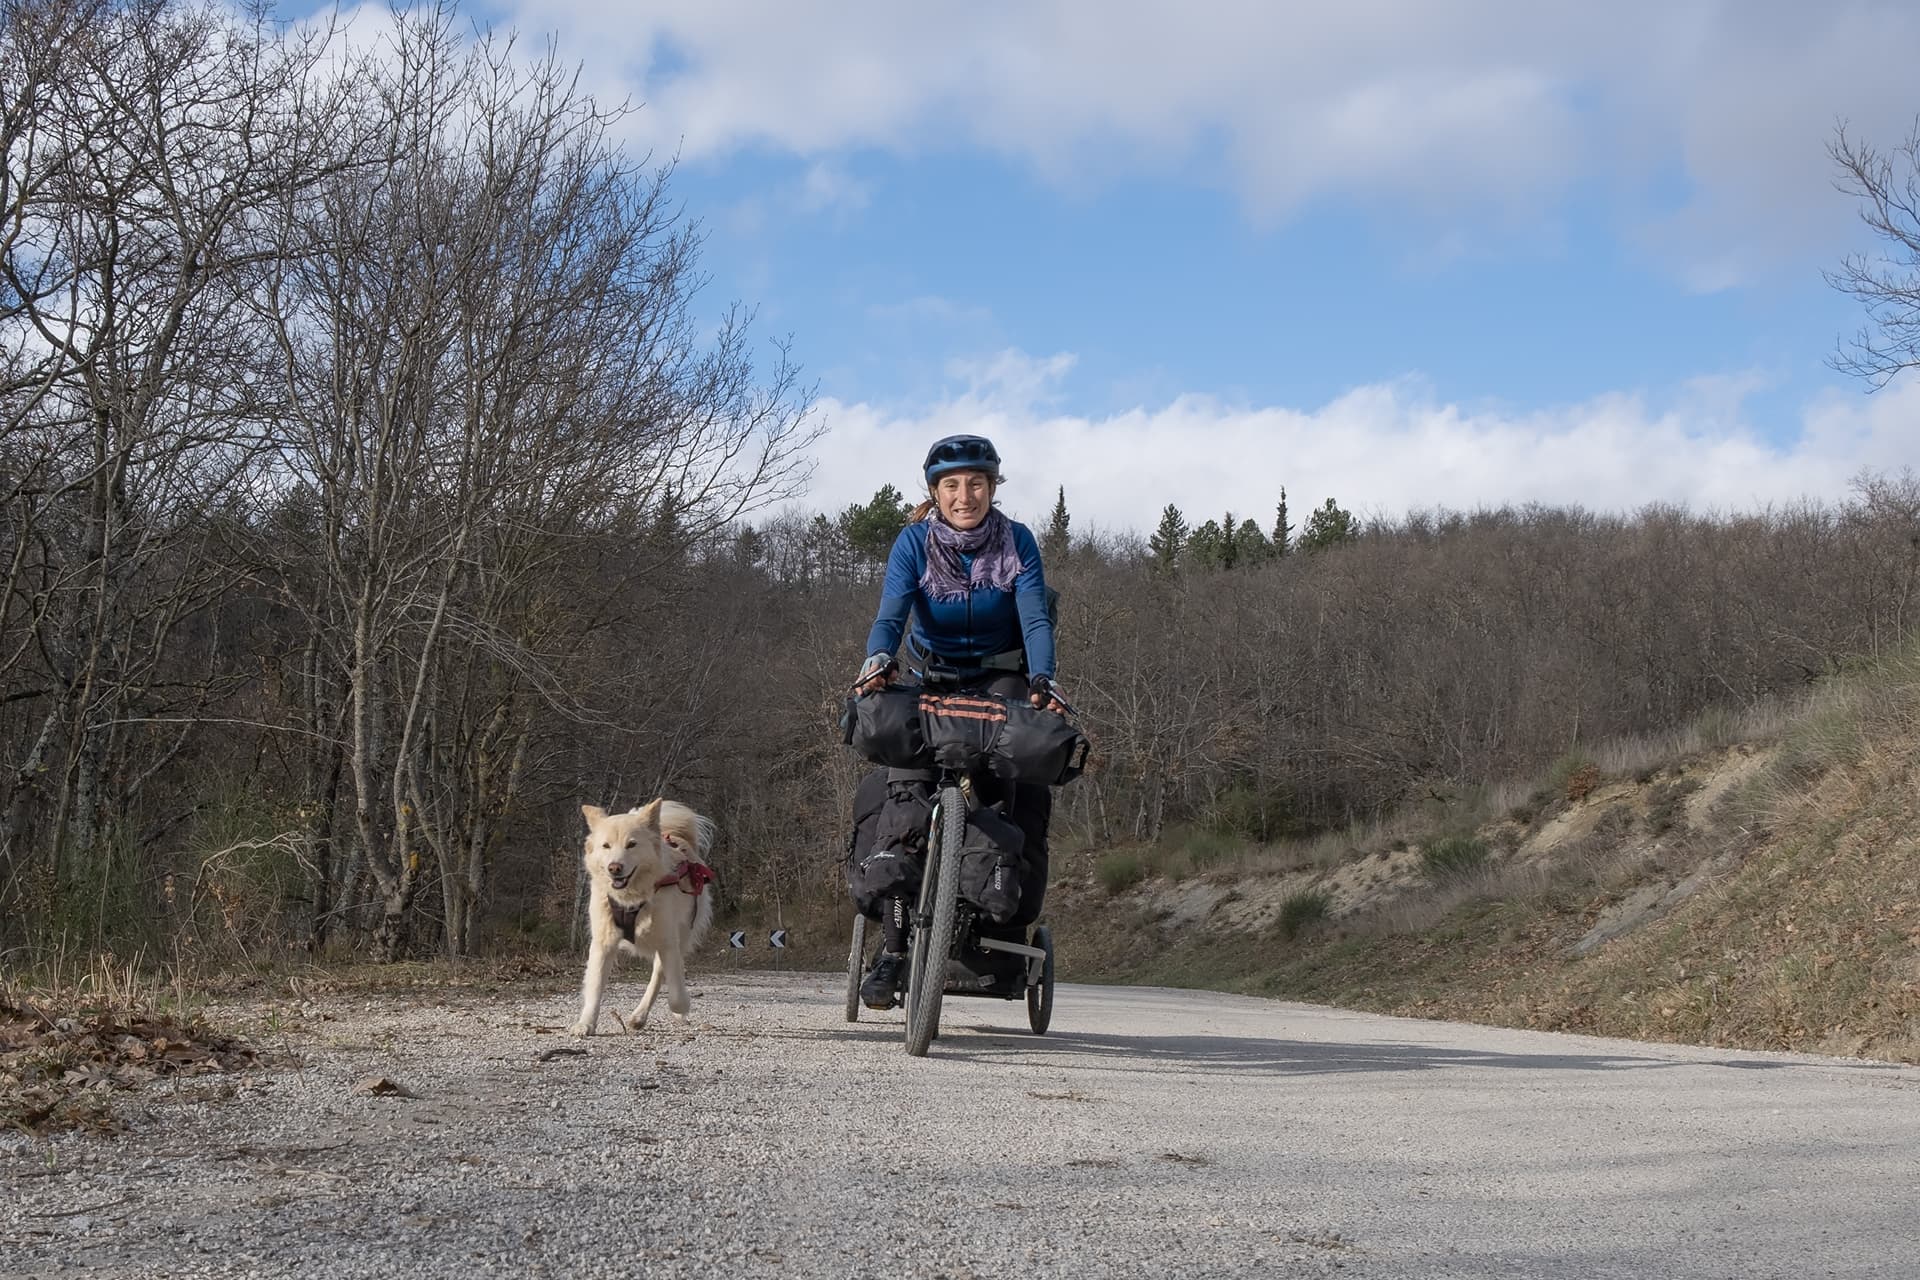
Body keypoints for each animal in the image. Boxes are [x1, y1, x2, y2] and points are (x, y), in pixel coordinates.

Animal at [576, 794, 721, 1036]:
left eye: (631, 844)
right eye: (606, 846)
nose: (614, 868)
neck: (631, 899)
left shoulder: (668, 942)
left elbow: (676, 994)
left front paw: (682, 1008)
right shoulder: (603, 943)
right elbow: (595, 986)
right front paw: (585, 1023)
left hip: (681, 933)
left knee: (660, 975)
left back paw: (642, 1016)